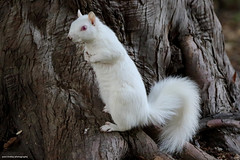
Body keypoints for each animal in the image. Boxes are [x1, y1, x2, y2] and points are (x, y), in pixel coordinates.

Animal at [67, 10, 201, 154]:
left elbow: (108, 55)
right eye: (73, 23)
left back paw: (112, 126)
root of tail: (143, 113)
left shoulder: (112, 49)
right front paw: (86, 55)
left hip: (121, 103)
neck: (93, 41)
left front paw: (93, 58)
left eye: (84, 27)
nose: (69, 37)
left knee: (126, 126)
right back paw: (108, 108)